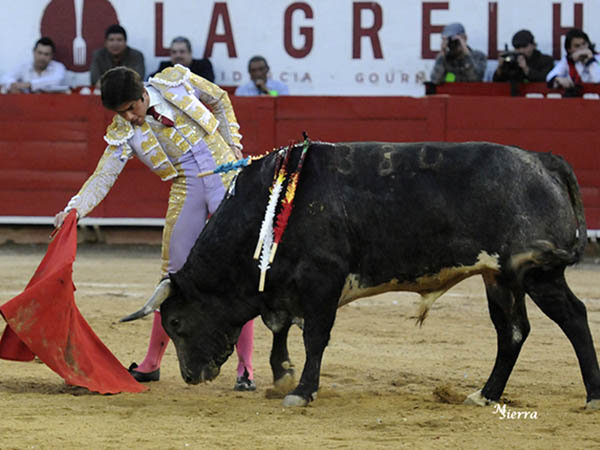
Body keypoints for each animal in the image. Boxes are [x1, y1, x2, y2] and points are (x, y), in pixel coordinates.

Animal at [119, 142, 596, 410]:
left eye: (176, 321)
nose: (191, 375)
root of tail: (543, 160)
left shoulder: (322, 281)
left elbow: (314, 336)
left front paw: (301, 391)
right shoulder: (286, 286)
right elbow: (279, 326)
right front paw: (282, 373)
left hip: (539, 274)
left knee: (573, 317)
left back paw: (592, 396)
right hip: (499, 277)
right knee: (512, 331)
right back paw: (485, 395)